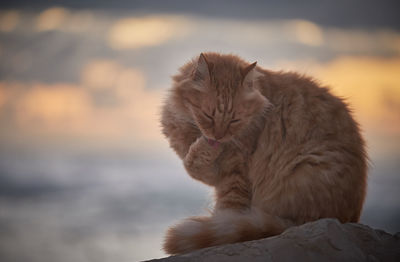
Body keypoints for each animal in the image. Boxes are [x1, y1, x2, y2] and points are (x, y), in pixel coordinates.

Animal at [159, 52, 366, 255]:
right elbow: (192, 164)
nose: (218, 136)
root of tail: (345, 217)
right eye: (208, 115)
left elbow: (225, 212)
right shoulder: (215, 175)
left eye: (235, 120)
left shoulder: (234, 176)